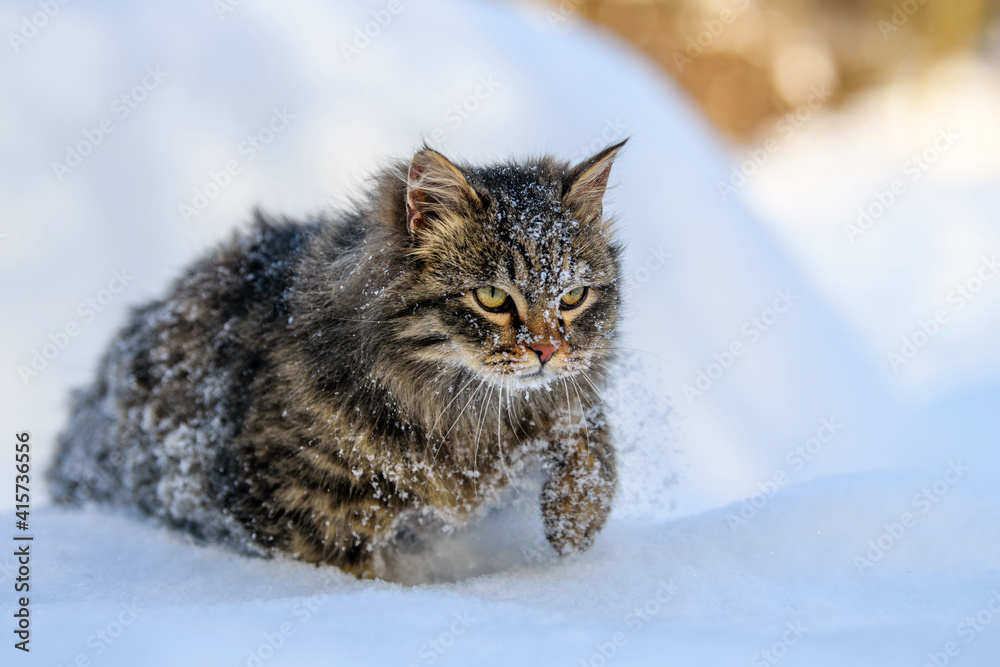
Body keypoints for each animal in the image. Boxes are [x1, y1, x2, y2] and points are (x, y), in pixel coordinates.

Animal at [48, 142, 624, 580]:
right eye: (492, 297)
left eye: (572, 297)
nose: (547, 350)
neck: (457, 418)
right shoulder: (306, 508)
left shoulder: (559, 402)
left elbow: (588, 436)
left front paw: (574, 523)